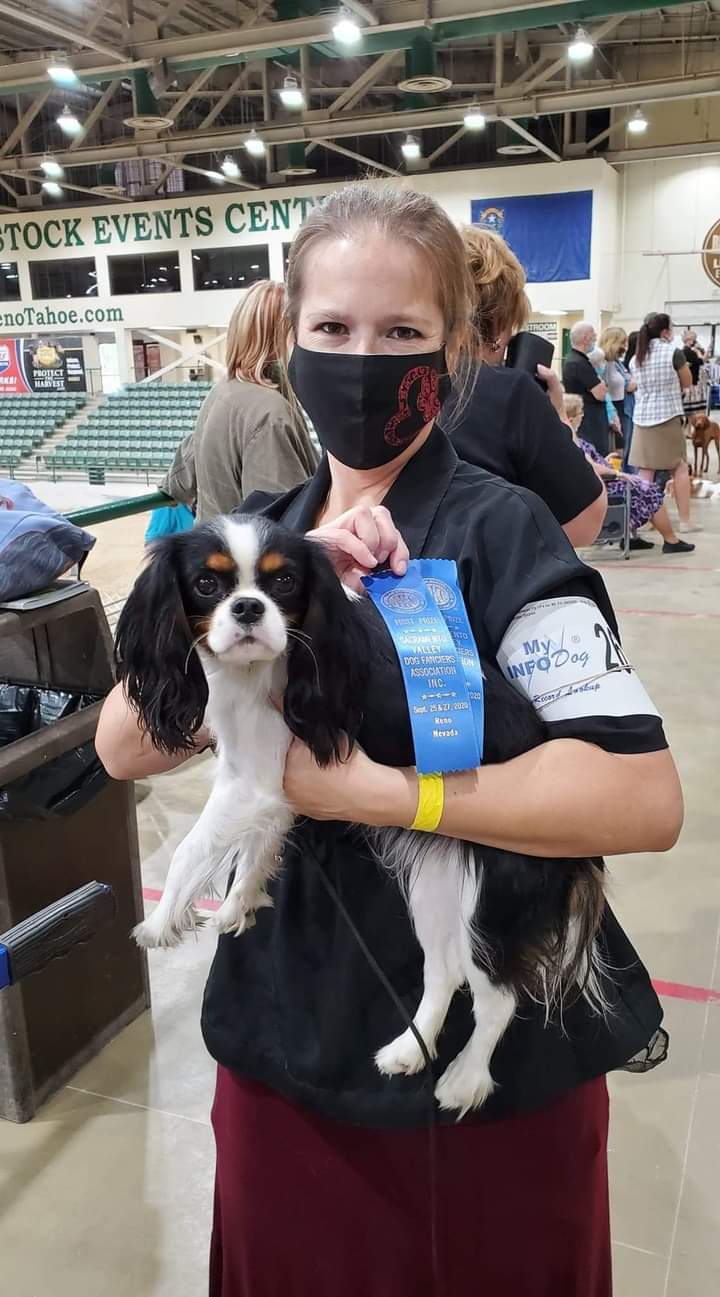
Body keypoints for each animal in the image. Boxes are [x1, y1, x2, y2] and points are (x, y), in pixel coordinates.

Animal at [115, 515, 605, 1115]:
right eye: (207, 585)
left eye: (285, 583)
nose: (248, 608)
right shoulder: (257, 776)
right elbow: (254, 846)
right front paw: (239, 901)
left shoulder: (255, 780)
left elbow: (193, 848)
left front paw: (161, 922)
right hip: (437, 886)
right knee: (443, 972)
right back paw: (408, 1051)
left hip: (490, 904)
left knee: (497, 998)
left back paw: (463, 1081)